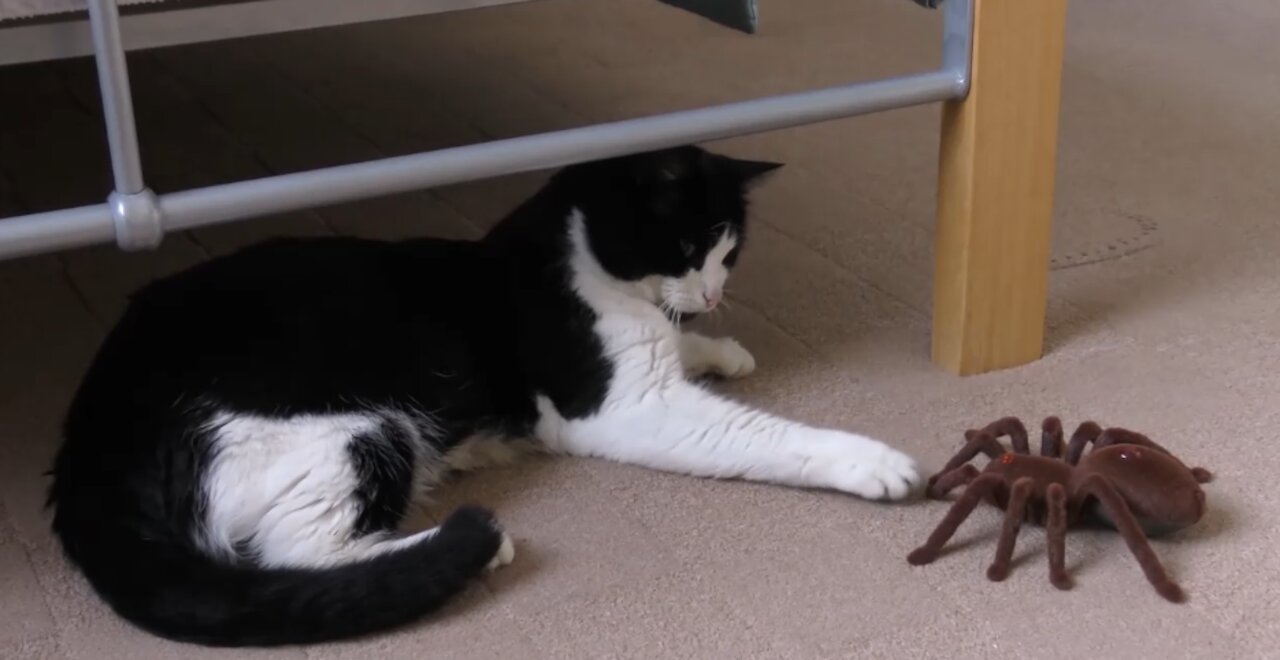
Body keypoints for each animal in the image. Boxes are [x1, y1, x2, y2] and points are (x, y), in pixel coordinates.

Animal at [49, 144, 921, 644]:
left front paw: (719, 349)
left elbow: (684, 349)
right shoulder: (621, 407)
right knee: (295, 550)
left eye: (730, 253)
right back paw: (465, 545)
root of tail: (91, 436)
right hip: (345, 432)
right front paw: (870, 461)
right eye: (686, 244)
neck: (577, 257)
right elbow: (762, 436)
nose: (712, 295)